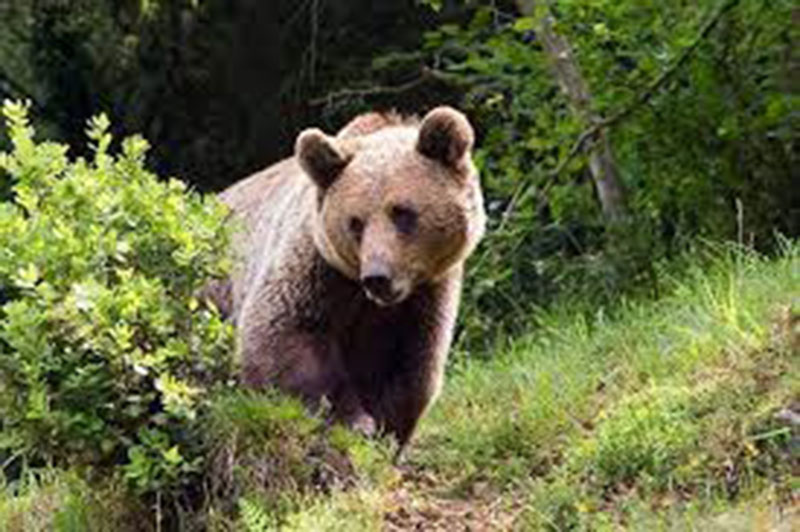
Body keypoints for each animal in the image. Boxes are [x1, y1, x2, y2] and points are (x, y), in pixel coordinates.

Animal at [212, 105, 484, 454]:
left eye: (402, 212)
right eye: (356, 222)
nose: (377, 277)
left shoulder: (425, 296)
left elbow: (409, 367)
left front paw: (383, 431)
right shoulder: (317, 271)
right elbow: (283, 335)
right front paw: (353, 421)